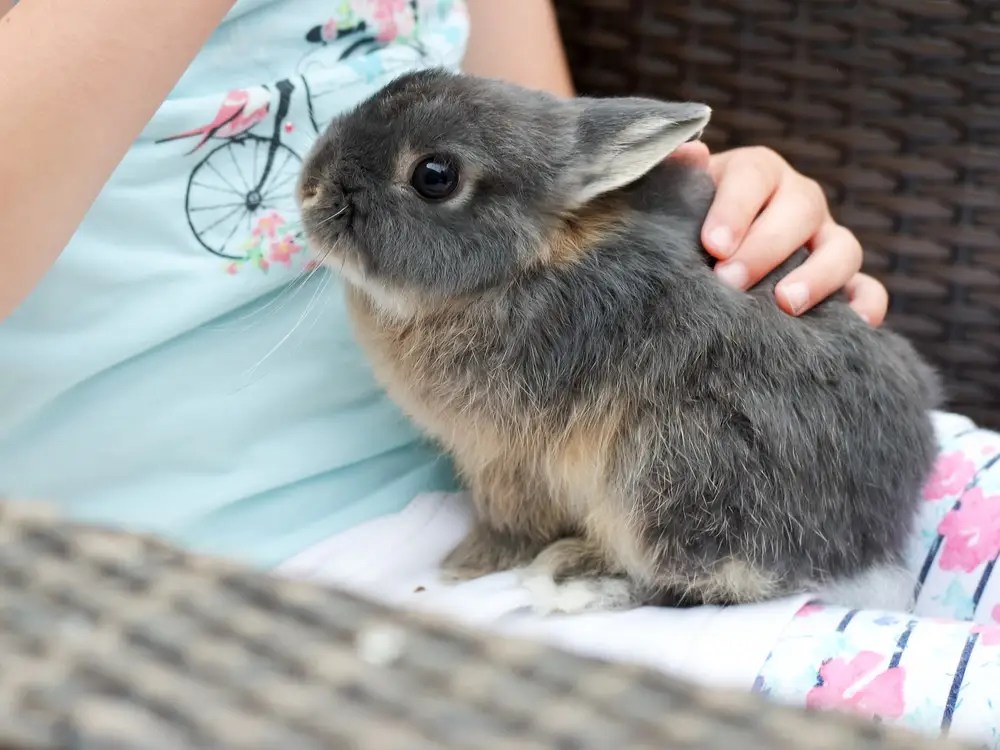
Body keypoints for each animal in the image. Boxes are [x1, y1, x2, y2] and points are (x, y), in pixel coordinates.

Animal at [297, 69, 940, 615]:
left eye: (434, 175)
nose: (309, 189)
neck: (527, 260)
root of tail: (869, 544)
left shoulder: (508, 460)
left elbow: (509, 521)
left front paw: (464, 565)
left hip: (665, 475)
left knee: (710, 580)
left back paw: (574, 577)